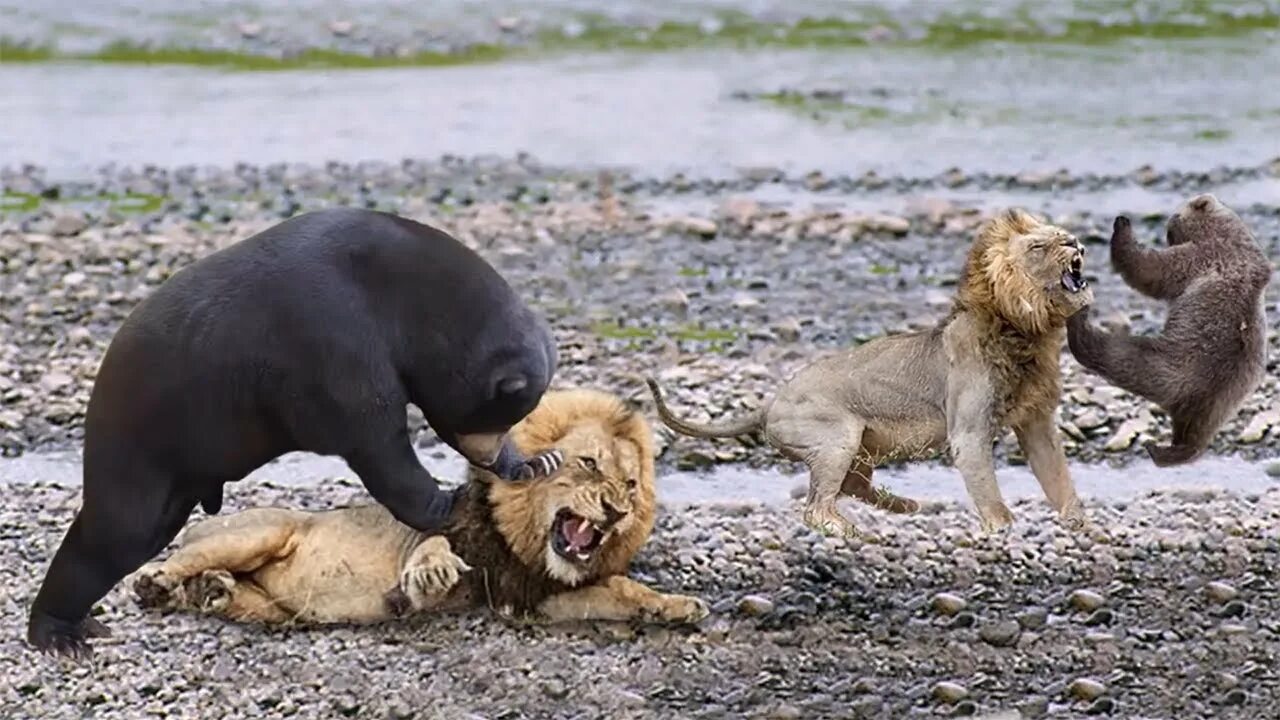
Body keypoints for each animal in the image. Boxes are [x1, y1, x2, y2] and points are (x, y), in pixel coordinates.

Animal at [131, 384, 711, 625]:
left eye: (631, 485)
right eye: (589, 463)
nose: (616, 511)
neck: (524, 543)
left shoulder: (530, 598)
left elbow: (621, 592)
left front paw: (674, 606)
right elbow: (431, 543)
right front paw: (428, 577)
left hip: (274, 609)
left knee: (219, 594)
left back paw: (212, 592)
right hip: (255, 532)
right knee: (177, 561)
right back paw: (158, 582)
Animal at [650, 207, 1090, 532]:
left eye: (1063, 233)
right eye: (1039, 245)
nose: (1074, 241)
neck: (1027, 331)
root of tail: (769, 403)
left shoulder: (1036, 420)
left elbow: (1060, 478)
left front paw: (1079, 525)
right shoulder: (969, 431)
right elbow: (988, 491)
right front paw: (1004, 529)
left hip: (861, 446)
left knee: (852, 485)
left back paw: (907, 505)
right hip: (838, 437)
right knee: (816, 506)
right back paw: (849, 529)